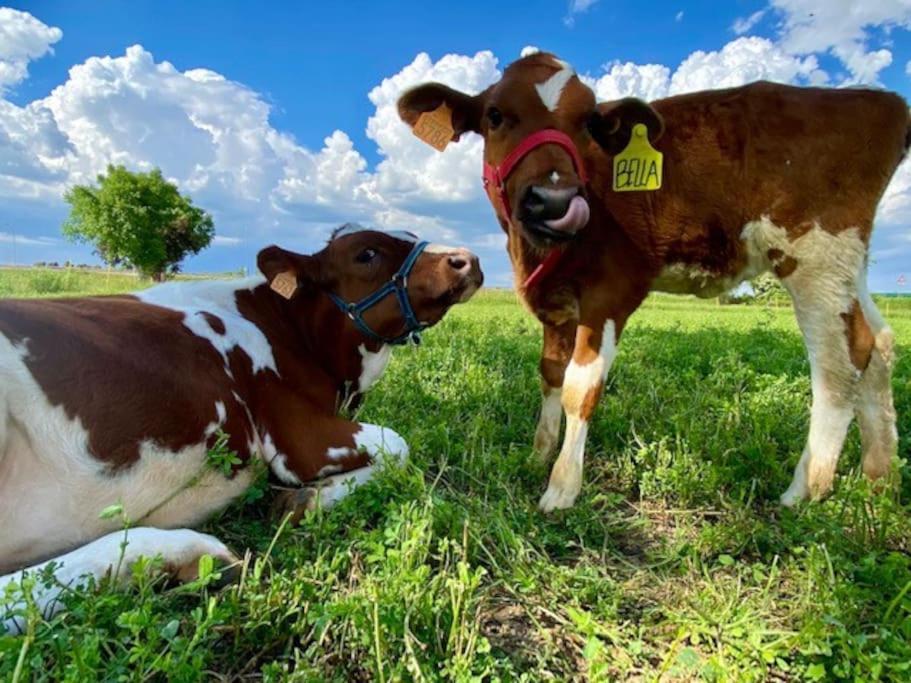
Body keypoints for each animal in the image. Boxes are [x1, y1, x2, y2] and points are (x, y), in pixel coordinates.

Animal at [0, 227, 484, 632]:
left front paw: (300, 501)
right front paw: (305, 500)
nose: (468, 258)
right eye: (367, 253)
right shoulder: (296, 436)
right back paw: (180, 552)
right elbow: (400, 446)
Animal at [402, 53, 908, 510]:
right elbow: (549, 373)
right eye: (495, 114)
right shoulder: (556, 299)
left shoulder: (612, 291)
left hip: (816, 255)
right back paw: (879, 480)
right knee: (879, 345)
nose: (556, 200)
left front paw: (562, 488)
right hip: (848, 264)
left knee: (842, 360)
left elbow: (579, 388)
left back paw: (804, 491)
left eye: (589, 122)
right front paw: (538, 455)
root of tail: (879, 101)